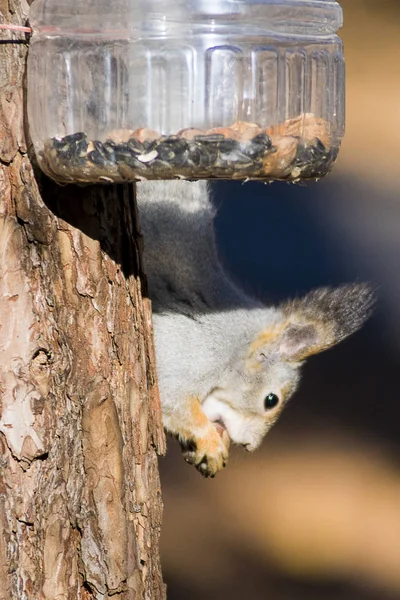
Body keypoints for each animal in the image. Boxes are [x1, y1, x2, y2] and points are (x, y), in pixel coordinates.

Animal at [138, 179, 376, 478]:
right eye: (271, 400)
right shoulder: (187, 354)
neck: (233, 347)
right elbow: (176, 402)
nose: (250, 446)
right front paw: (210, 443)